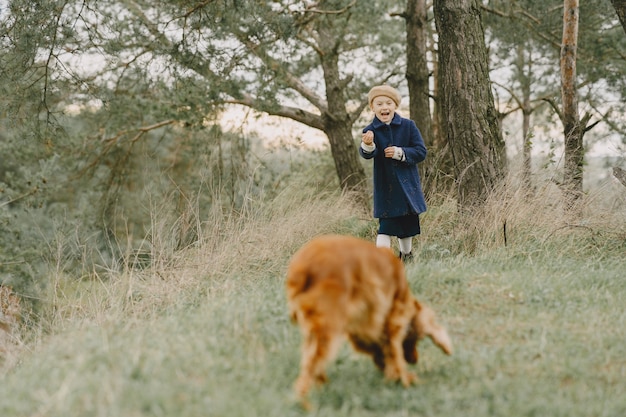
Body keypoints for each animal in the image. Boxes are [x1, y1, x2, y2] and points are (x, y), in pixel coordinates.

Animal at [286, 234, 450, 406]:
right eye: (417, 340)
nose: (414, 360)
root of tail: (303, 268)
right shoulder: (392, 318)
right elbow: (393, 350)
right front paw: (404, 378)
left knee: (310, 359)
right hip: (328, 325)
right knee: (310, 364)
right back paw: (304, 401)